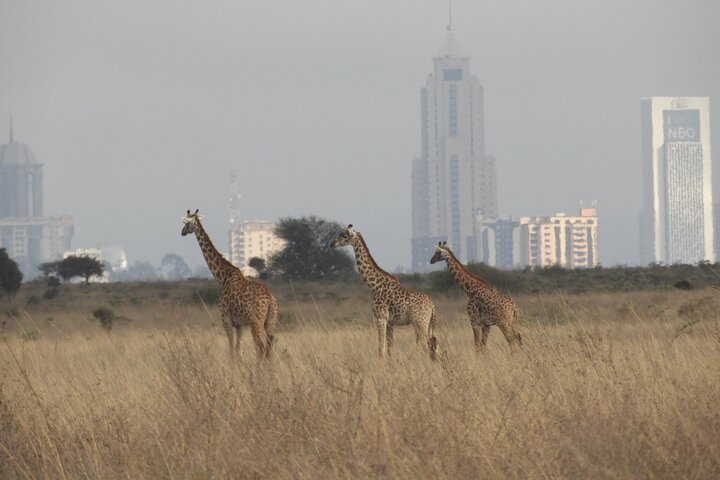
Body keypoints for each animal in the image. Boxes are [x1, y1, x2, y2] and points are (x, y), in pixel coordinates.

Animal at [181, 209, 277, 359]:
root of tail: (269, 300)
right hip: (270, 321)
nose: (182, 232)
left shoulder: (226, 318)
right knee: (268, 349)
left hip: (256, 321)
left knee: (260, 348)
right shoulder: (239, 324)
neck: (223, 277)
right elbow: (238, 349)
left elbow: (231, 348)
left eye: (186, 223)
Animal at [330, 225, 438, 360]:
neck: (374, 285)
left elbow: (381, 349)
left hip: (420, 323)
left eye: (344, 235)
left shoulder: (380, 318)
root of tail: (432, 306)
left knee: (427, 346)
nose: (332, 244)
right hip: (428, 324)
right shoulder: (390, 322)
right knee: (434, 346)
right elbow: (390, 348)